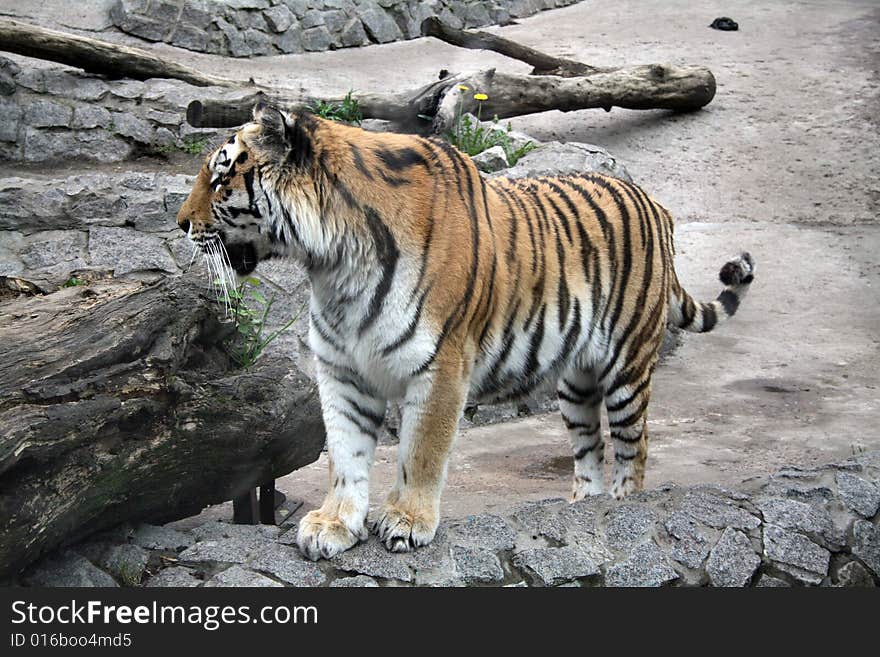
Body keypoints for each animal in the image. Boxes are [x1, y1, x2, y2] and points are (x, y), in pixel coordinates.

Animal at [175, 104, 752, 560]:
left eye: (220, 179)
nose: (180, 223)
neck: (332, 265)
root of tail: (654, 203)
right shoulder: (342, 370)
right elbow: (345, 454)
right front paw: (333, 524)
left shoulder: (440, 365)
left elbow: (420, 452)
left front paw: (406, 521)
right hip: (576, 382)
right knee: (589, 452)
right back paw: (580, 510)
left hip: (627, 367)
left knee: (635, 450)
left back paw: (624, 506)